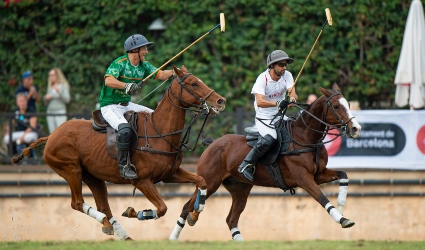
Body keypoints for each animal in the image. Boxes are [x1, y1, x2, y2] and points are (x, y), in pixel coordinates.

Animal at [12, 65, 225, 240]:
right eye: (193, 83)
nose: (220, 101)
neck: (160, 132)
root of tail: (51, 136)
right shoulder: (141, 181)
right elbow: (162, 208)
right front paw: (135, 212)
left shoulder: (170, 174)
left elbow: (201, 181)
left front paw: (195, 214)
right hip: (71, 169)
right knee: (78, 203)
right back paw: (107, 223)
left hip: (93, 176)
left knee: (103, 205)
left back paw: (118, 232)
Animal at [169, 83, 362, 240]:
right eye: (336, 106)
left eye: (348, 104)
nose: (356, 128)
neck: (306, 138)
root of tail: (212, 144)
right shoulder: (303, 178)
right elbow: (322, 198)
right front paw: (343, 220)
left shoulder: (318, 175)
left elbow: (344, 175)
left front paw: (342, 207)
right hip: (209, 181)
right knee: (187, 206)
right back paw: (174, 237)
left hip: (240, 188)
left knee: (231, 219)